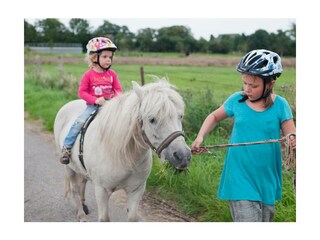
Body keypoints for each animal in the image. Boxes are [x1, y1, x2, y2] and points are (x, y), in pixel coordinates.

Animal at [53, 79, 191, 221]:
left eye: (180, 116)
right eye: (152, 119)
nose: (183, 156)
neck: (125, 155)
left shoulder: (136, 190)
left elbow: (132, 218)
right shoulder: (102, 191)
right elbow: (104, 219)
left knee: (83, 183)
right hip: (69, 168)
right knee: (75, 189)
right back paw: (81, 215)